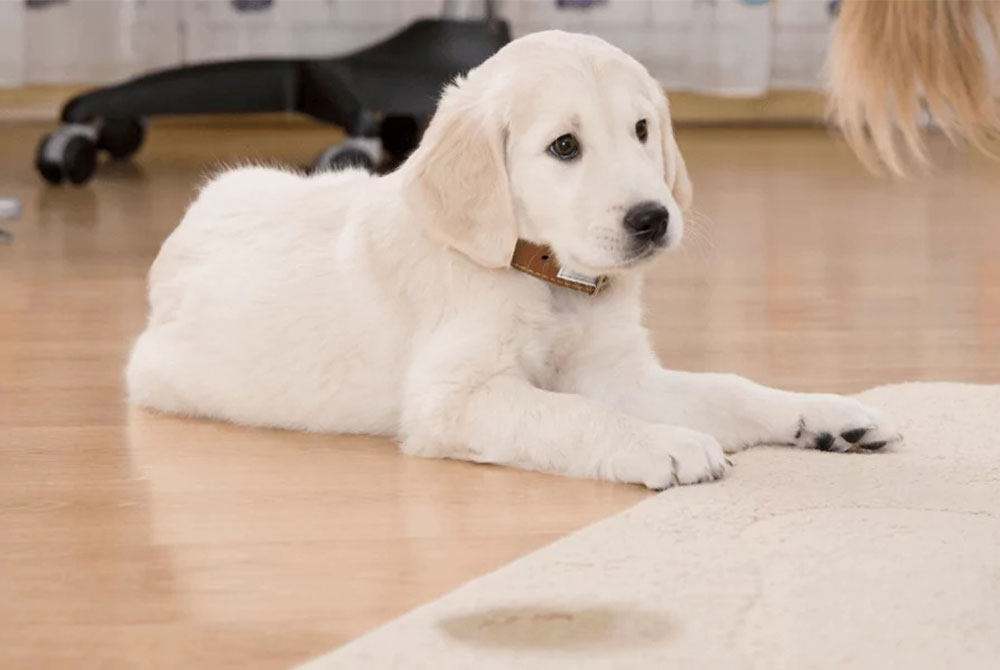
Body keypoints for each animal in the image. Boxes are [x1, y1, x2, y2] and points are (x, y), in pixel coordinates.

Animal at [129, 31, 904, 490]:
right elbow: (573, 416)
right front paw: (667, 444)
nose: (652, 218)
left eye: (642, 129)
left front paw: (827, 413)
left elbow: (730, 387)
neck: (550, 279)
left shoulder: (617, 373)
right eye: (564, 146)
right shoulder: (455, 399)